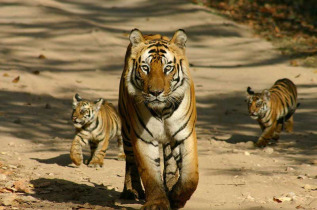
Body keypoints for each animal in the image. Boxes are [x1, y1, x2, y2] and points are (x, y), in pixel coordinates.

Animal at [118, 28, 198, 209]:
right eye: (145, 68)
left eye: (167, 68)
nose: (155, 92)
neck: (163, 110)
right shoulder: (144, 138)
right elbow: (150, 176)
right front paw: (157, 203)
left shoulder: (185, 135)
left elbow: (190, 177)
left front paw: (176, 198)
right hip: (126, 130)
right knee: (130, 162)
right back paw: (131, 191)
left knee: (170, 164)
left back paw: (170, 185)